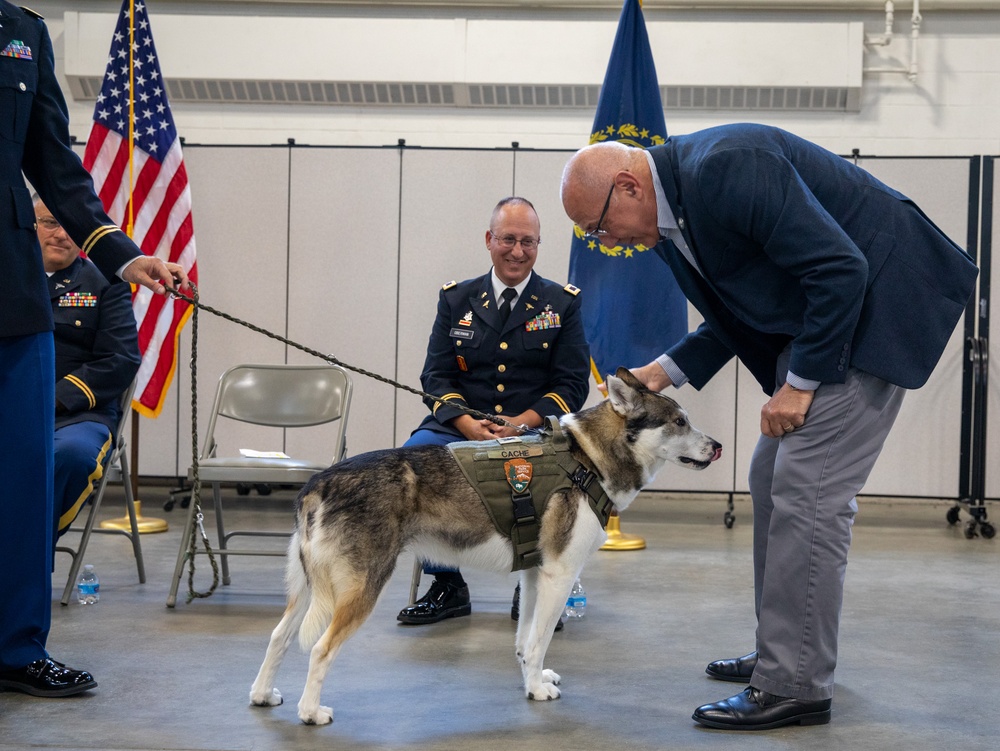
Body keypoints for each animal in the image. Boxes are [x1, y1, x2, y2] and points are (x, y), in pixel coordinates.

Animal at [249, 368, 720, 724]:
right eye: (679, 422)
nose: (717, 447)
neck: (585, 460)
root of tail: (318, 482)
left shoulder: (534, 574)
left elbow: (525, 641)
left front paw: (533, 680)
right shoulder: (559, 575)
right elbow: (539, 641)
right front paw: (536, 692)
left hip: (309, 590)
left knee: (277, 637)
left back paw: (262, 694)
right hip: (359, 590)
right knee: (321, 650)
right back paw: (311, 713)